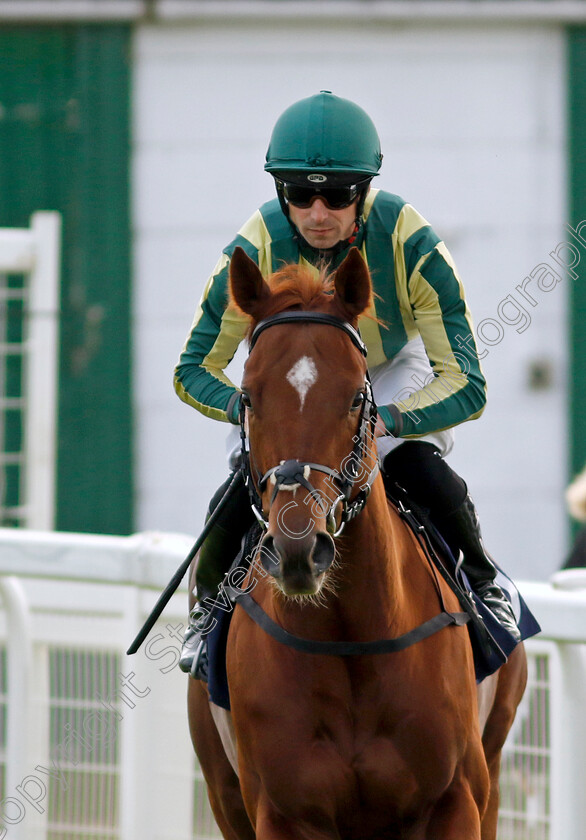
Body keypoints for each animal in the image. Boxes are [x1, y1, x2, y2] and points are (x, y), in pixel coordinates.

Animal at [186, 246, 524, 836]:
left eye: (352, 399)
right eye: (247, 397)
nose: (298, 549)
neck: (351, 642)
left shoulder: (456, 799)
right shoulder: (282, 812)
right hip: (222, 789)